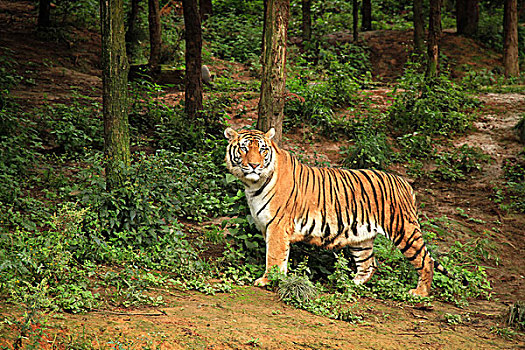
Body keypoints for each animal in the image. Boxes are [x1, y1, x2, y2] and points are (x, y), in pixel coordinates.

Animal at [223, 126, 460, 296]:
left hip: (404, 231)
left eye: (262, 149)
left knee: (426, 261)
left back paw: (420, 293)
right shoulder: (267, 226)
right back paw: (350, 284)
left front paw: (267, 280)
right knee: (369, 264)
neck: (252, 184)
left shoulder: (278, 227)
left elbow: (273, 256)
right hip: (361, 236)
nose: (254, 165)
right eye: (244, 148)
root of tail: (404, 183)